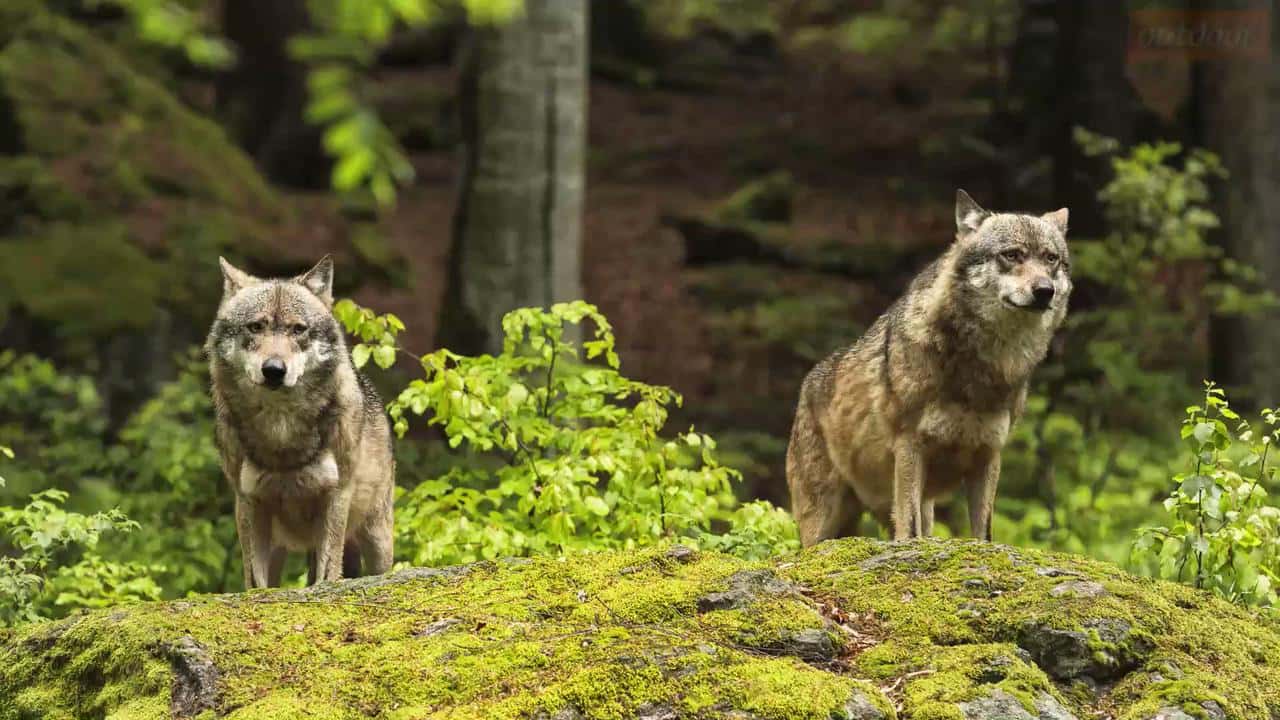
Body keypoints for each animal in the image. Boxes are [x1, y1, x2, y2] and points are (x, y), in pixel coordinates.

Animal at [207, 255, 395, 588]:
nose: (273, 369)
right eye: (256, 326)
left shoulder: (336, 496)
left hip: (376, 538)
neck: (281, 430)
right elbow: (256, 581)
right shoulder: (248, 501)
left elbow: (327, 572)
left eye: (298, 330)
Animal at [786, 190, 1070, 545]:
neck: (982, 368)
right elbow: (909, 532)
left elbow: (983, 534)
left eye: (1051, 259)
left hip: (922, 508)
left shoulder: (989, 455)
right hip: (823, 524)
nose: (1045, 291)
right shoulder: (910, 447)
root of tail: (806, 386)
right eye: (1012, 255)